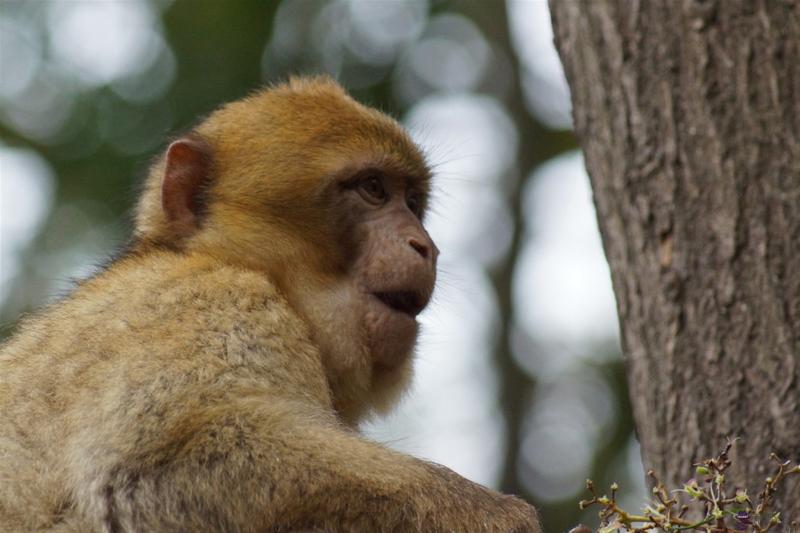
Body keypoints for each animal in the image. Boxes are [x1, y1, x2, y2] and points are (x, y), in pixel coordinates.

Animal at [0, 77, 540, 528]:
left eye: (411, 202)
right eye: (373, 189)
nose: (425, 246)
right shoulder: (219, 307)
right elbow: (148, 471)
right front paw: (496, 515)